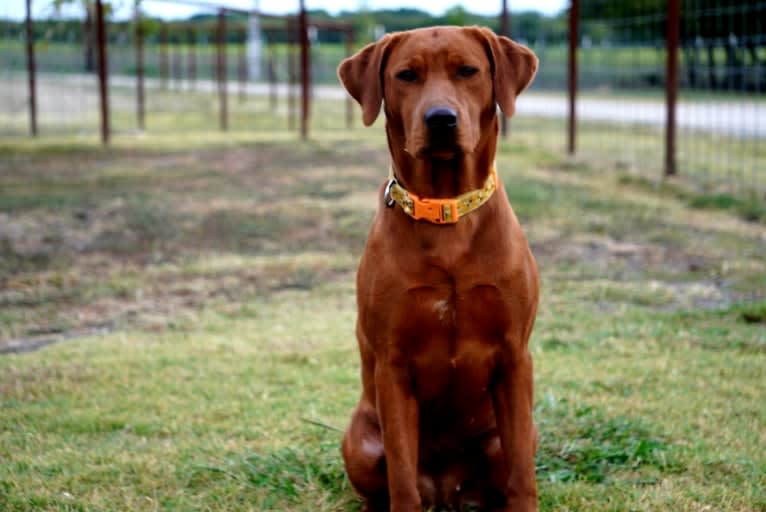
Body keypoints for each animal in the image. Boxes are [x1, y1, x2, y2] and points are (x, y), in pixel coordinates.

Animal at [340, 27, 544, 512]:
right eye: (406, 75)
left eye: (468, 70)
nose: (440, 120)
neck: (447, 209)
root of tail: (447, 489)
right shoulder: (392, 366)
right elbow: (400, 476)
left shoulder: (515, 356)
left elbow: (522, 475)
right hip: (358, 440)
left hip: (512, 434)